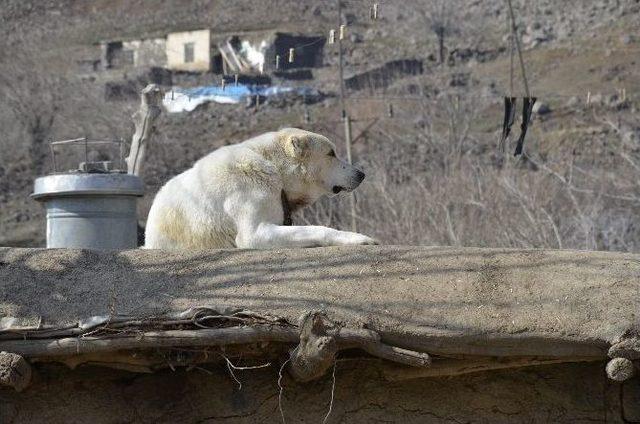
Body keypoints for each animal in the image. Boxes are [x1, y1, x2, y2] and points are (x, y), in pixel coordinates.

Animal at [144, 127, 376, 250]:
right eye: (331, 153)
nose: (360, 174)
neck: (272, 165)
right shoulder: (246, 191)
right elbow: (253, 234)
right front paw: (362, 238)